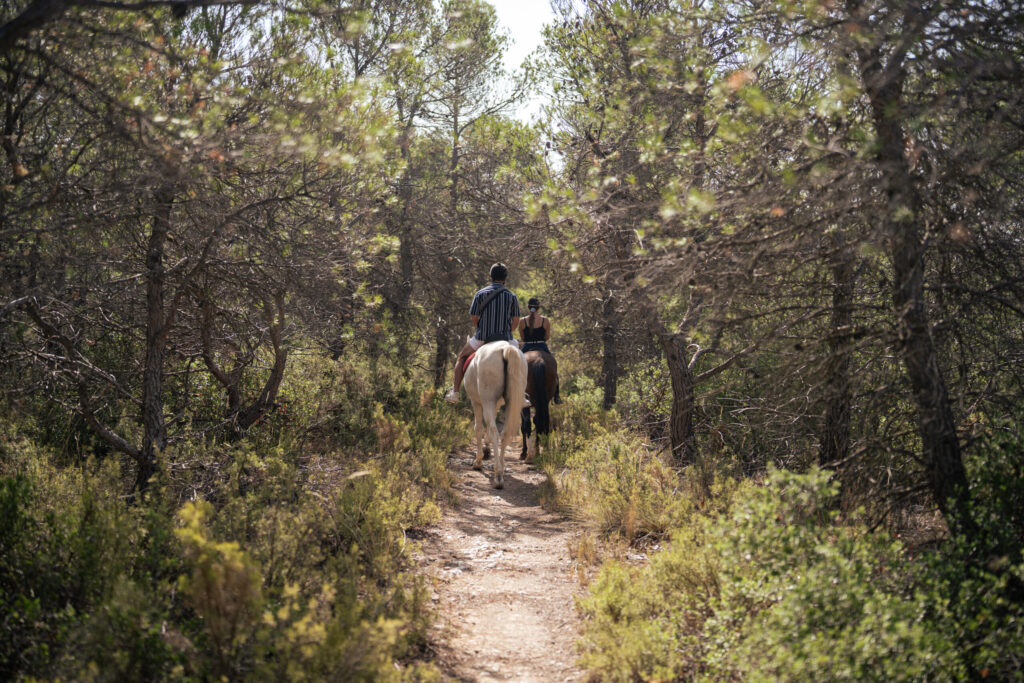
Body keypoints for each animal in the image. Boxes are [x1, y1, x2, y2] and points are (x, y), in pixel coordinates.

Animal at [463, 340, 528, 489]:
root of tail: (505, 348)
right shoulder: (497, 405)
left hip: (488, 400)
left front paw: (479, 461)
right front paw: (487, 449)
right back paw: (501, 468)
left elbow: (479, 428)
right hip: (510, 401)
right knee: (504, 433)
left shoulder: (476, 402)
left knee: (494, 431)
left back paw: (498, 475)